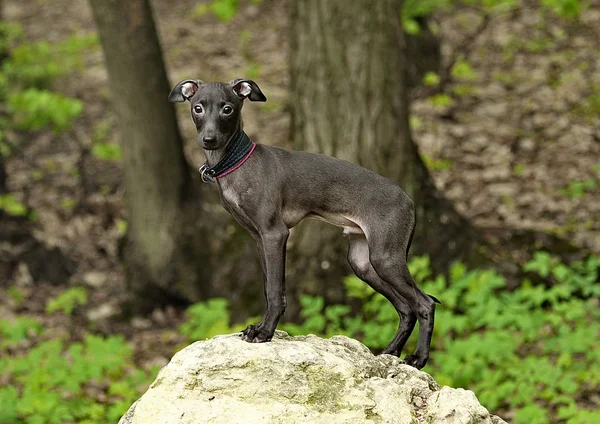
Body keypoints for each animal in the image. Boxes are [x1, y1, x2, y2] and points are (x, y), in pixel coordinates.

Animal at [170, 78, 440, 370]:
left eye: (227, 109)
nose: (208, 139)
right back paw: (390, 352)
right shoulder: (259, 239)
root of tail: (409, 200)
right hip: (364, 262)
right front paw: (260, 327)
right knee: (406, 308)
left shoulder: (275, 234)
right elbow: (267, 287)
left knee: (425, 303)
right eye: (197, 108)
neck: (238, 163)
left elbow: (275, 290)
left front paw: (265, 332)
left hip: (386, 257)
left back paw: (418, 358)